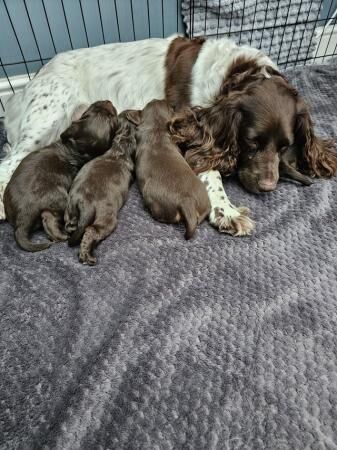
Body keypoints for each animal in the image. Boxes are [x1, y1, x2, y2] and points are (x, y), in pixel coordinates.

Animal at [65, 111, 136, 266]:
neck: (119, 149)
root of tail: (86, 203)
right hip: (107, 218)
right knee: (91, 230)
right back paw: (87, 257)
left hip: (70, 207)